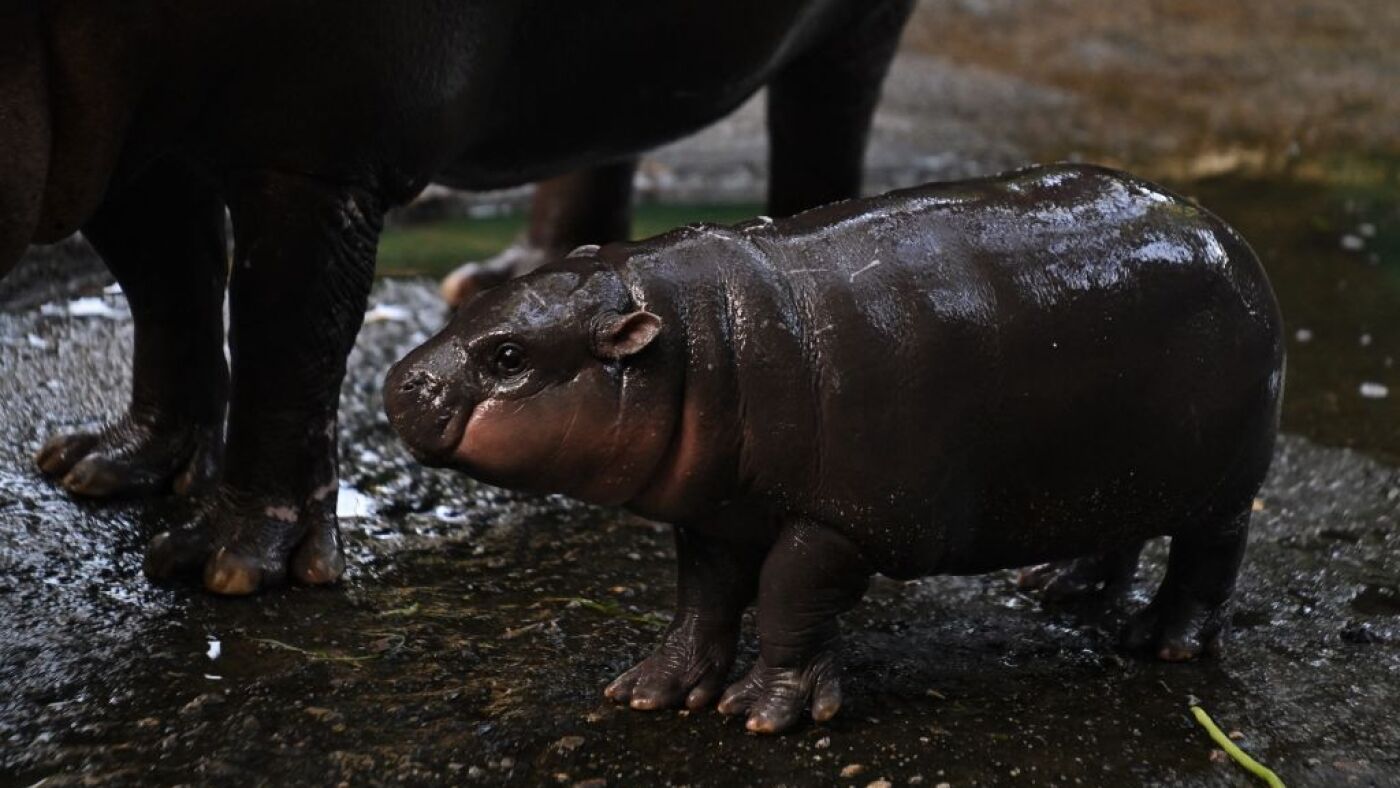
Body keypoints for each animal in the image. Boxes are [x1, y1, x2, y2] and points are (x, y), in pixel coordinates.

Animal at [2, 0, 918, 593]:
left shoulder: (315, 154)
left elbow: (283, 337)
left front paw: (229, 565)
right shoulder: (116, 139)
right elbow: (171, 290)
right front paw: (103, 467)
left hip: (855, 30)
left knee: (823, 120)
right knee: (602, 133)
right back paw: (503, 278)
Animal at [380, 165, 1282, 733]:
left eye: (508, 356)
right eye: (480, 299)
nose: (399, 382)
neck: (703, 342)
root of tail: (1224, 231)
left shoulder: (842, 522)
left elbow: (785, 594)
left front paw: (760, 713)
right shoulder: (718, 512)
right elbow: (701, 599)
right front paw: (650, 690)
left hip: (1223, 482)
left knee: (1211, 556)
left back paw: (1162, 642)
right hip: (1116, 461)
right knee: (1120, 530)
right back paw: (1058, 587)